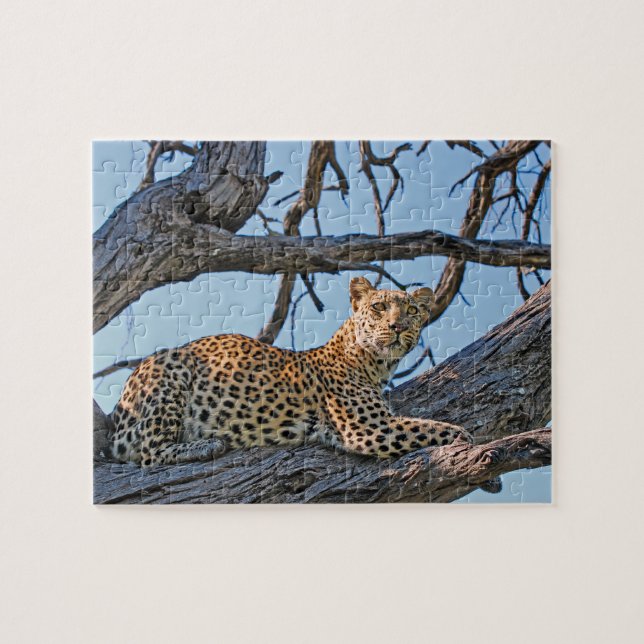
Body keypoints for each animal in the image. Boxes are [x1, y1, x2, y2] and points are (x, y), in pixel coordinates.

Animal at [110, 277, 473, 467]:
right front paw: (468, 442)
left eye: (411, 310)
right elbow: (435, 429)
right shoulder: (369, 428)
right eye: (379, 307)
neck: (373, 364)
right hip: (171, 373)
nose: (398, 327)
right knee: (149, 453)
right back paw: (206, 445)